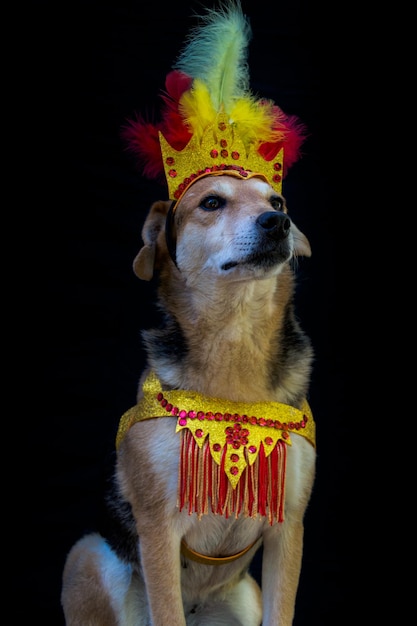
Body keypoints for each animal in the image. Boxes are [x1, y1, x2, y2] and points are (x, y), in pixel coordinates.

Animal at [61, 172, 316, 624]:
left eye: (278, 202)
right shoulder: (158, 526)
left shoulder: (288, 527)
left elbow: (281, 612)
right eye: (211, 202)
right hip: (87, 555)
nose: (277, 223)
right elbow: (167, 611)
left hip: (246, 595)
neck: (236, 337)